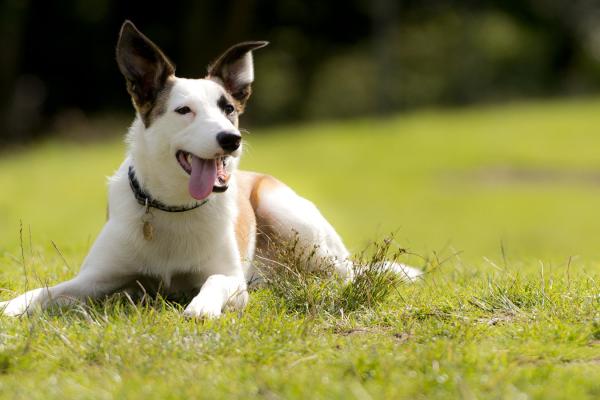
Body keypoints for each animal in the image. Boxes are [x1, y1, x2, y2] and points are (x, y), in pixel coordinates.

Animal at [0, 21, 422, 318]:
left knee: (348, 275)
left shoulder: (231, 279)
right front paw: (13, 306)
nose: (230, 139)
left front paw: (201, 307)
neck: (171, 206)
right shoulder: (94, 280)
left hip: (291, 219)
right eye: (184, 110)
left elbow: (217, 282)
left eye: (229, 109)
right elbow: (48, 291)